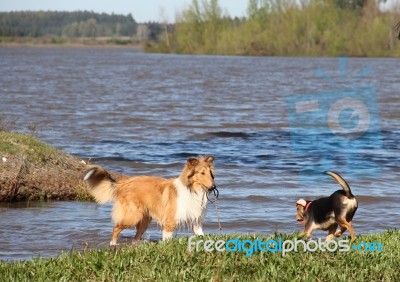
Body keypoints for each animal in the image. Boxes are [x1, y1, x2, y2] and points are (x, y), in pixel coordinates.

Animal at [83, 155, 217, 246]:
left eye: (211, 173)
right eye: (202, 173)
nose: (213, 187)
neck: (192, 190)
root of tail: (124, 182)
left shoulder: (196, 222)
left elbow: (201, 235)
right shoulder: (170, 222)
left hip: (144, 220)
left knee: (135, 237)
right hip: (133, 216)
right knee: (116, 228)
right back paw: (113, 244)